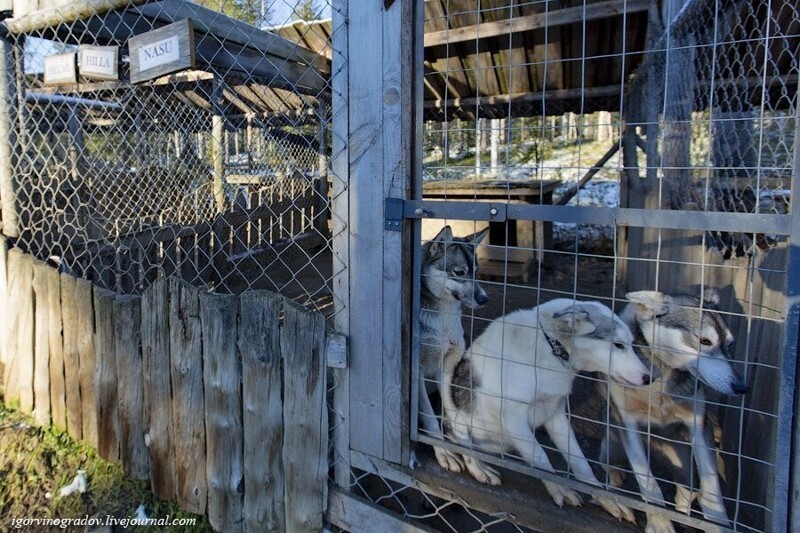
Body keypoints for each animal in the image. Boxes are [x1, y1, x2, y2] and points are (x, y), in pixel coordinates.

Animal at [418, 224, 488, 470]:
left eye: (476, 271)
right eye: (459, 272)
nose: (484, 299)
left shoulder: (446, 370)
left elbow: (459, 423)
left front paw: (476, 465)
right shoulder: (416, 372)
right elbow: (430, 420)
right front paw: (444, 454)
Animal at [440, 298, 652, 520]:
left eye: (631, 343)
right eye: (618, 345)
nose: (649, 378)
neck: (552, 347)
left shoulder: (555, 413)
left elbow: (580, 462)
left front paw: (606, 499)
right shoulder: (513, 417)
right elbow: (540, 456)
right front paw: (560, 490)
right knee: (457, 439)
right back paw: (479, 468)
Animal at [608, 290, 752, 532]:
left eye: (729, 345)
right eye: (705, 341)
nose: (742, 387)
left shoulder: (699, 425)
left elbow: (712, 487)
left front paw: (717, 523)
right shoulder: (627, 423)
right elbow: (649, 483)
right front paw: (659, 524)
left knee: (689, 488)